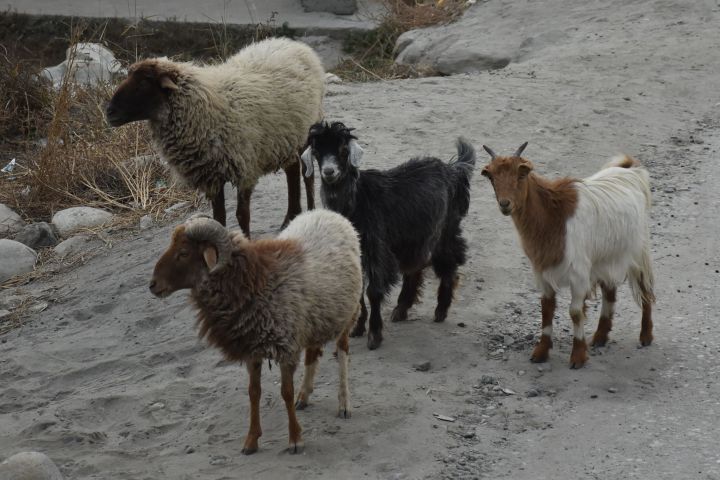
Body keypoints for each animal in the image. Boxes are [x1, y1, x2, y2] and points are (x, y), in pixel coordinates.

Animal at [106, 37, 325, 237]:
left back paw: (309, 211)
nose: (109, 112)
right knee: (292, 168)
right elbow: (219, 218)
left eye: (144, 82)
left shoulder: (245, 168)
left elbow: (241, 215)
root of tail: (291, 42)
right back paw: (290, 217)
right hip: (285, 137)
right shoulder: (210, 174)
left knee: (308, 174)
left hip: (306, 129)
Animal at [149, 209, 361, 454]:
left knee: (343, 354)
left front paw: (295, 439)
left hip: (347, 313)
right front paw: (251, 441)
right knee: (312, 352)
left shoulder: (286, 347)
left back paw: (344, 404)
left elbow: (285, 392)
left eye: (183, 253)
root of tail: (327, 213)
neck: (253, 282)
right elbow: (253, 392)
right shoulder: (252, 349)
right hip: (315, 320)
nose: (152, 285)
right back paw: (304, 396)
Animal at [301, 121, 476, 350]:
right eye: (316, 151)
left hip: (445, 229)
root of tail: (452, 170)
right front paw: (358, 328)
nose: (329, 171)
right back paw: (402, 308)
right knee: (416, 266)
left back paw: (441, 310)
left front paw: (374, 335)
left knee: (449, 262)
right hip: (413, 237)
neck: (357, 200)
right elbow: (359, 292)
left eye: (343, 150)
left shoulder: (376, 249)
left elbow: (373, 291)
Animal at [480, 142, 655, 368]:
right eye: (492, 177)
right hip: (604, 257)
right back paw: (600, 336)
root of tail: (631, 172)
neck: (554, 216)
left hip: (637, 251)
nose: (505, 204)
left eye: (521, 175)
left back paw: (646, 335)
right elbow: (546, 309)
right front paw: (541, 351)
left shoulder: (578, 273)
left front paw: (578, 355)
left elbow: (575, 312)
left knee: (644, 287)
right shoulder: (542, 271)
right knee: (609, 290)